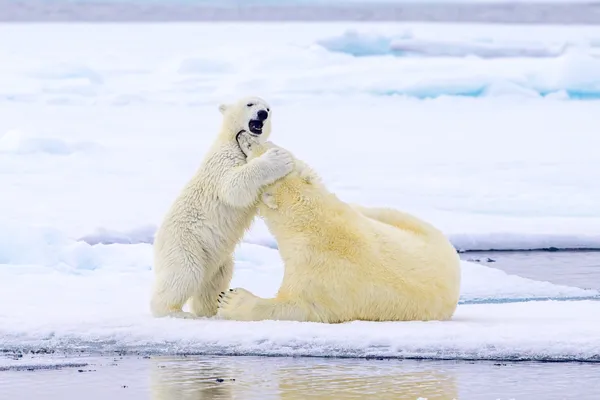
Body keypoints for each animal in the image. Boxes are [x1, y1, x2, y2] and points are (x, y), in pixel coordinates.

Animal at [150, 97, 296, 318]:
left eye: (268, 108)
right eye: (250, 104)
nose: (262, 114)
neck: (230, 139)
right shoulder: (224, 159)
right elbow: (233, 186)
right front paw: (278, 158)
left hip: (217, 258)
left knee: (214, 281)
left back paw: (212, 309)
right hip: (185, 244)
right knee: (185, 274)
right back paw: (174, 311)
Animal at [218, 136, 462, 324]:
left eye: (260, 147)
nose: (242, 134)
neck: (311, 223)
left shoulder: (316, 273)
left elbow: (298, 307)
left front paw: (230, 299)